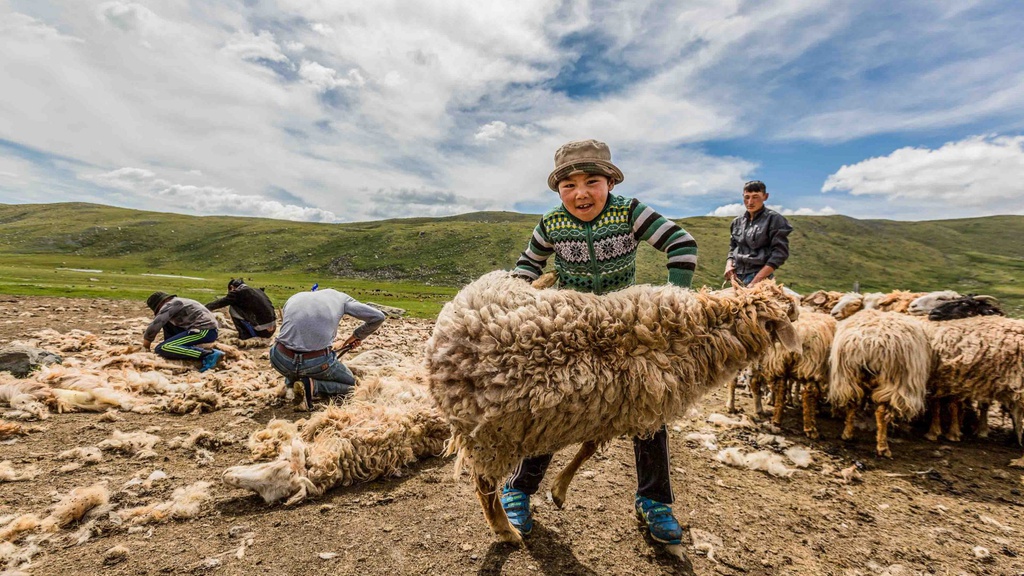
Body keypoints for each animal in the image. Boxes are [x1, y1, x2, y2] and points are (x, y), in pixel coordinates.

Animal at [423, 270, 798, 541]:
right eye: (789, 307)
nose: (798, 304)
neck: (698, 332)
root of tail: (447, 324)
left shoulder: (614, 409)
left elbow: (590, 447)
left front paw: (559, 489)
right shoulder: (636, 408)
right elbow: (590, 448)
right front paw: (559, 490)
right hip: (491, 435)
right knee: (484, 484)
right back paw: (505, 530)